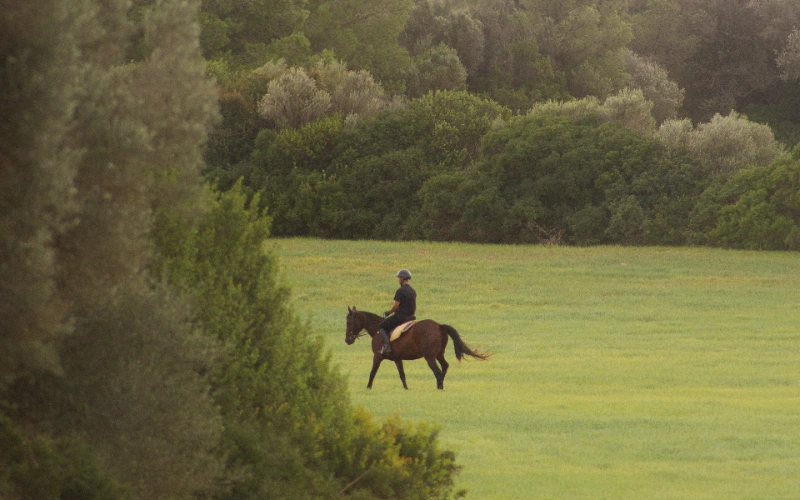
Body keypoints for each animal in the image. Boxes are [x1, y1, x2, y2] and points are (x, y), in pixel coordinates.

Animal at [345, 306, 491, 390]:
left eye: (348, 321)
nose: (347, 340)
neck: (377, 330)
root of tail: (438, 326)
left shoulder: (377, 356)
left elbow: (372, 372)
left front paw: (368, 388)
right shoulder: (397, 359)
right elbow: (402, 375)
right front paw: (406, 389)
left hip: (429, 356)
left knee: (437, 371)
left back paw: (439, 388)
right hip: (439, 354)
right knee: (444, 366)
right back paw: (440, 386)